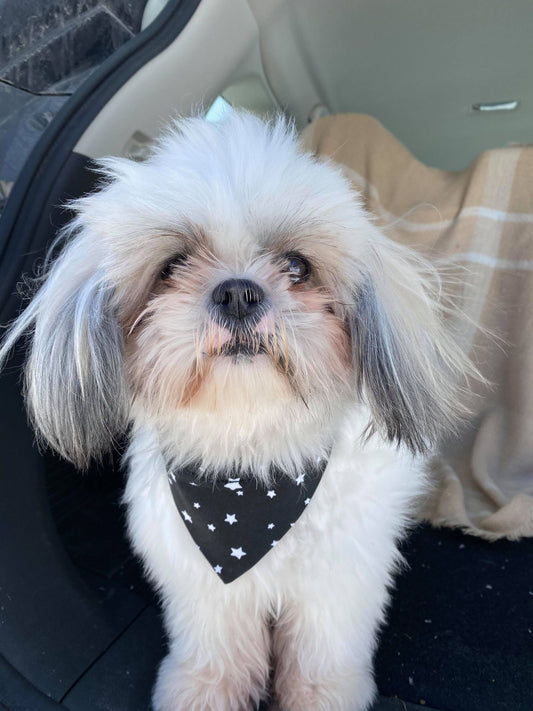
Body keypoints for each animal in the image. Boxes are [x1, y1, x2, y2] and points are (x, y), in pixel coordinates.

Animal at [0, 112, 474, 711]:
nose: (238, 293)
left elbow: (321, 655)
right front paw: (204, 692)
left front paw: (321, 696)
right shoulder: (203, 585)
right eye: (173, 265)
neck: (252, 469)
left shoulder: (335, 582)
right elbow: (217, 649)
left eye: (297, 266)